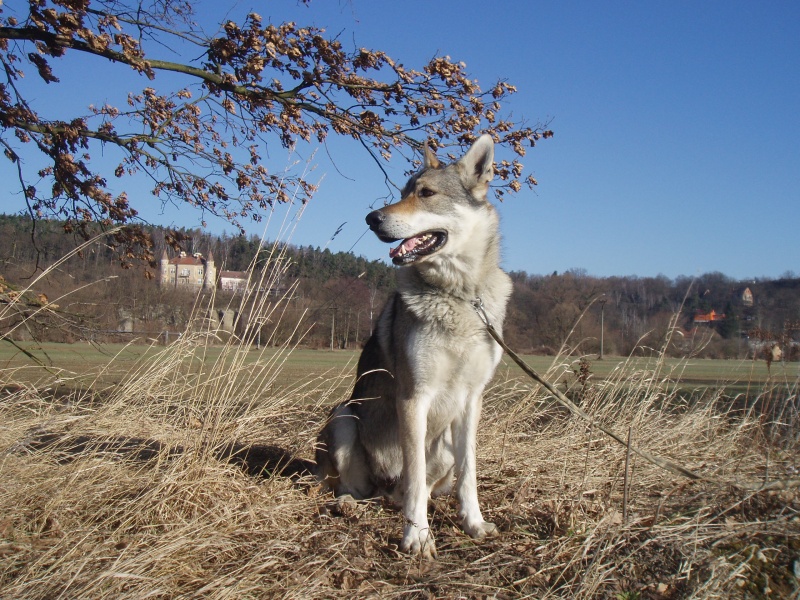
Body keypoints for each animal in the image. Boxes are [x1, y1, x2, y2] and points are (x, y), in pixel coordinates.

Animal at [314, 135, 512, 556]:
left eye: (425, 194)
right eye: (403, 192)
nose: (371, 218)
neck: (458, 295)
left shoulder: (472, 400)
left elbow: (469, 475)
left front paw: (474, 523)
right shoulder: (414, 397)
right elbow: (415, 476)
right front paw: (417, 536)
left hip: (444, 444)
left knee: (413, 490)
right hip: (343, 415)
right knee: (352, 489)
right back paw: (350, 505)